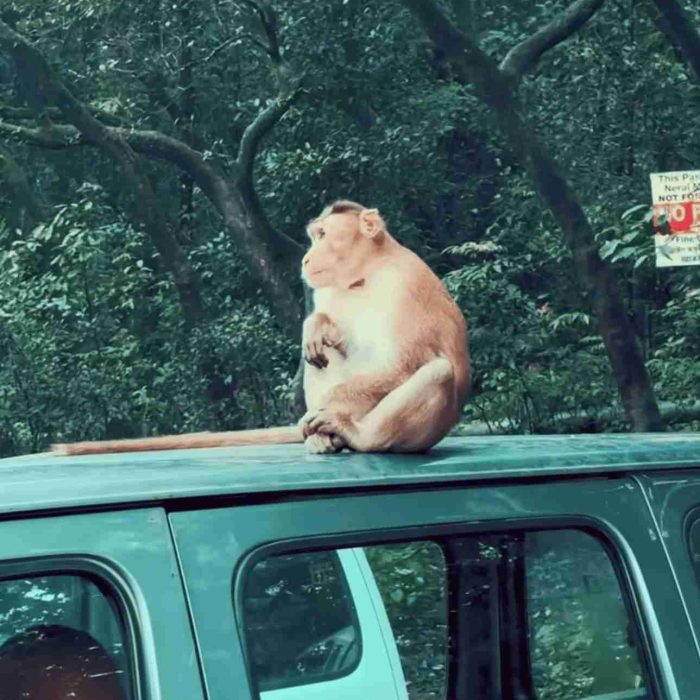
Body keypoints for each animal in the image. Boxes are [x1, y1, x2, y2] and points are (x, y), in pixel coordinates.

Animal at [53, 201, 469, 457]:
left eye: (322, 236)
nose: (306, 257)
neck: (363, 276)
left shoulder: (406, 284)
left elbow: (405, 361)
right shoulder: (328, 289)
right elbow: (324, 330)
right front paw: (315, 324)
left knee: (436, 371)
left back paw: (352, 433)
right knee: (324, 352)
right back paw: (321, 438)